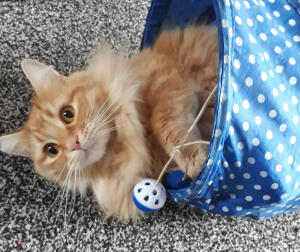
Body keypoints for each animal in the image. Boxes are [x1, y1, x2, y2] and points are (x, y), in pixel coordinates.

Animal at [0, 25, 218, 219]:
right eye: (51, 150)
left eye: (67, 114)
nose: (74, 144)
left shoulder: (168, 82)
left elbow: (166, 125)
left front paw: (198, 164)